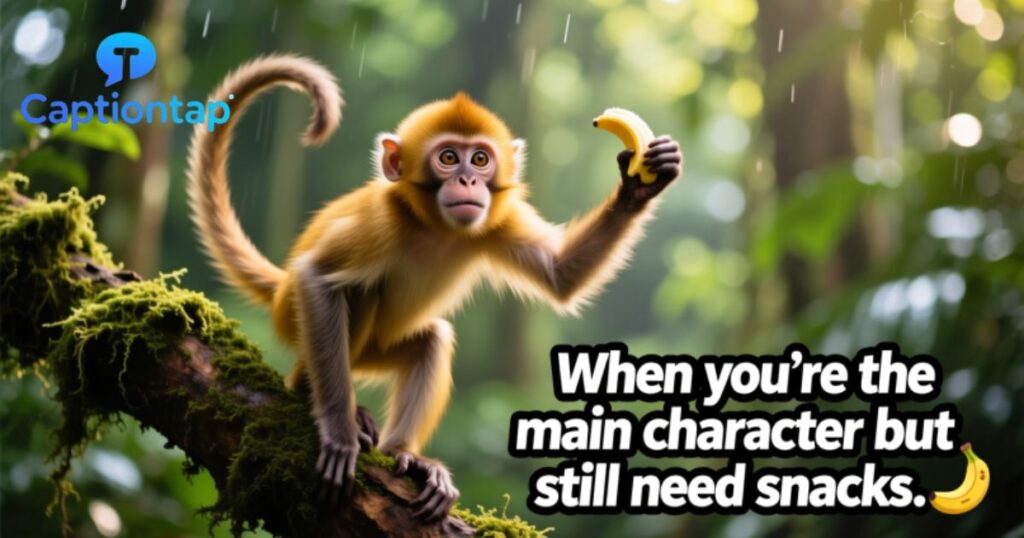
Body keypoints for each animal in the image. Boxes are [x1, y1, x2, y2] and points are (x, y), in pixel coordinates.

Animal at [186, 55, 682, 522]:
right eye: (448, 158)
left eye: (480, 159)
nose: (467, 180)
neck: (434, 227)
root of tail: (279, 287)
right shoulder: (381, 223)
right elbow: (318, 276)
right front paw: (338, 432)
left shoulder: (496, 220)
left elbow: (561, 275)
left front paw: (638, 185)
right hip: (299, 320)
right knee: (352, 290)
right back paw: (311, 392)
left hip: (377, 351)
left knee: (432, 339)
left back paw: (405, 455)